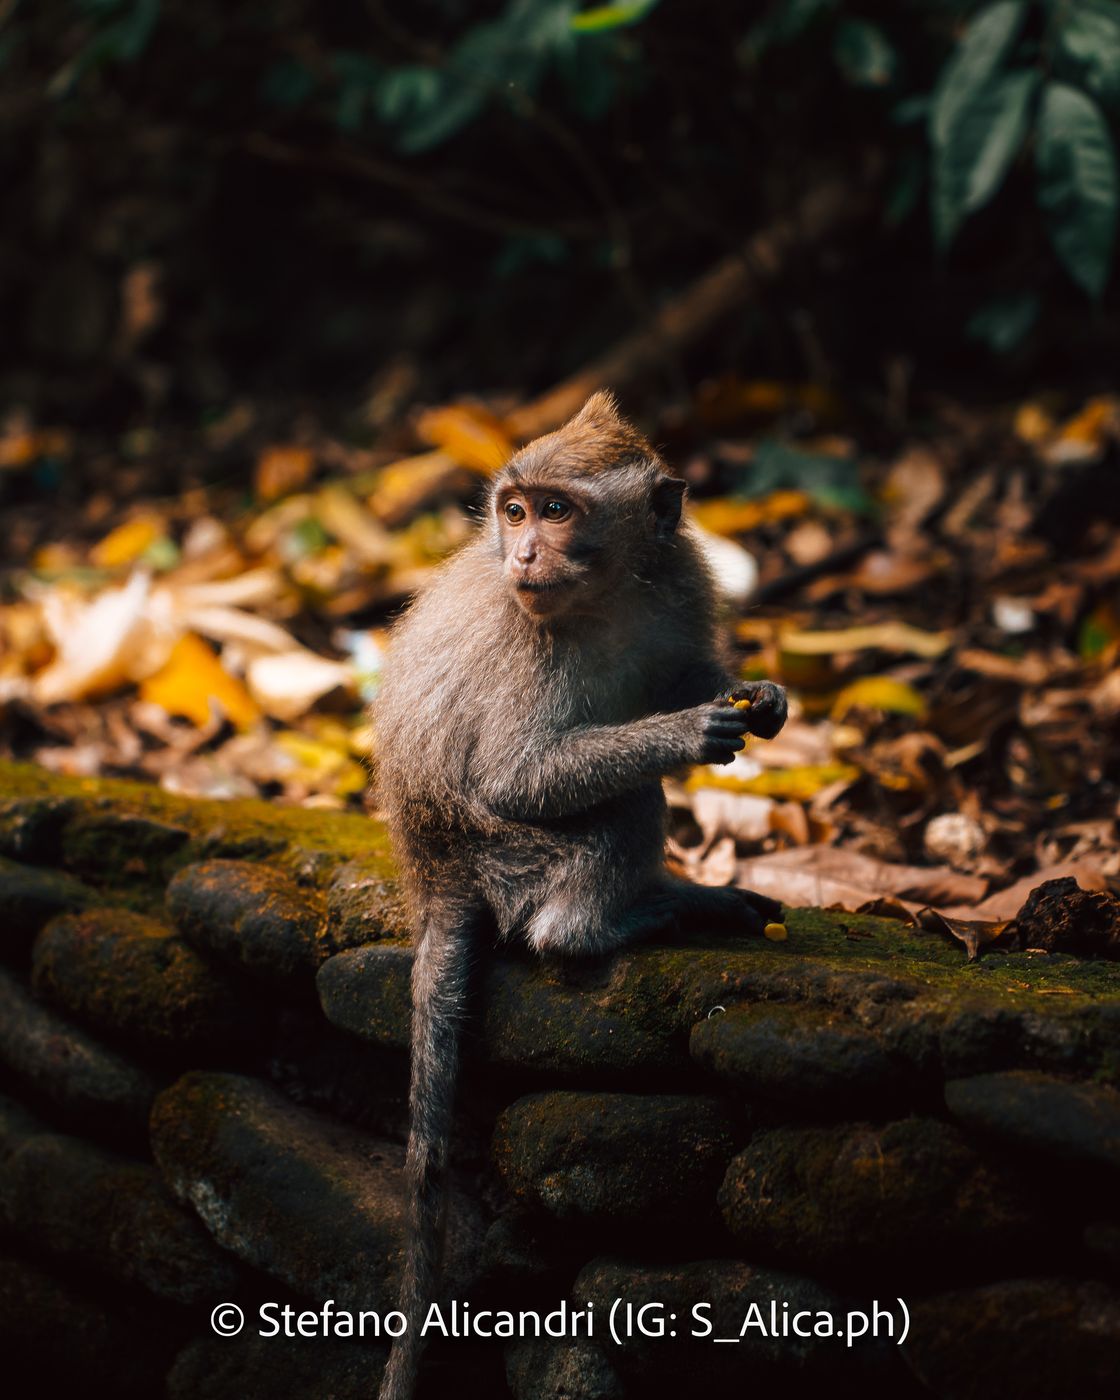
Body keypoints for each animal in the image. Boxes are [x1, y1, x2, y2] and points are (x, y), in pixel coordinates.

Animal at [373, 391, 787, 1399]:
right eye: (515, 511)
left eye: (556, 511)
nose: (522, 554)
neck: (605, 598)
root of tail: (432, 875)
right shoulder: (529, 644)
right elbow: (516, 775)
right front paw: (685, 731)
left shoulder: (683, 582)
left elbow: (684, 666)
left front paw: (757, 695)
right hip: (507, 858)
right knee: (617, 814)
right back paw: (615, 922)